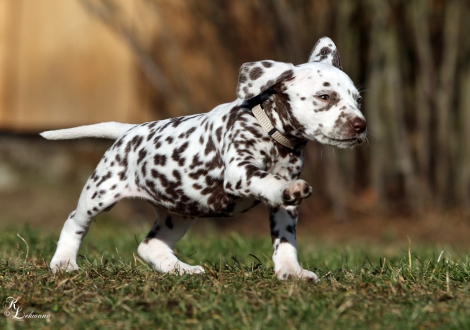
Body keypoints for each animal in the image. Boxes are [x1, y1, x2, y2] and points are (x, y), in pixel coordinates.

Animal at [43, 36, 368, 282]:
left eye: (358, 100)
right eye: (325, 97)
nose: (361, 125)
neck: (272, 135)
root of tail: (129, 130)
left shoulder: (284, 210)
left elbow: (285, 241)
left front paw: (292, 272)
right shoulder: (240, 173)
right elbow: (269, 182)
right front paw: (285, 189)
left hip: (179, 212)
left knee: (150, 246)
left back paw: (180, 270)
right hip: (99, 193)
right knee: (74, 222)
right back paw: (64, 263)